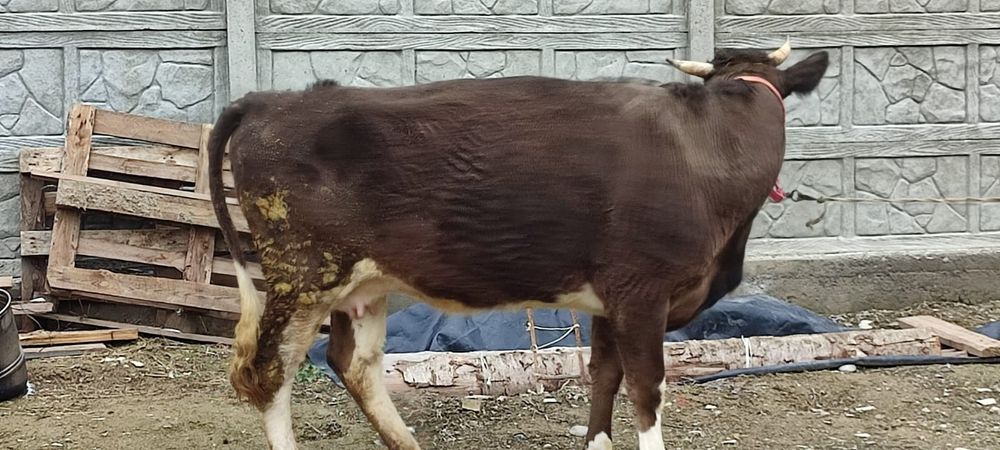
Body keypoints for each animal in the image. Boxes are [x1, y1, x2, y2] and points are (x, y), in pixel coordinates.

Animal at [207, 40, 829, 450]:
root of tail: (269, 100)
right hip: (301, 273)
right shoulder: (642, 292)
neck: (710, 148)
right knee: (267, 371)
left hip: (362, 282)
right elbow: (647, 390)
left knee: (354, 364)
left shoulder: (610, 298)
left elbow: (603, 375)